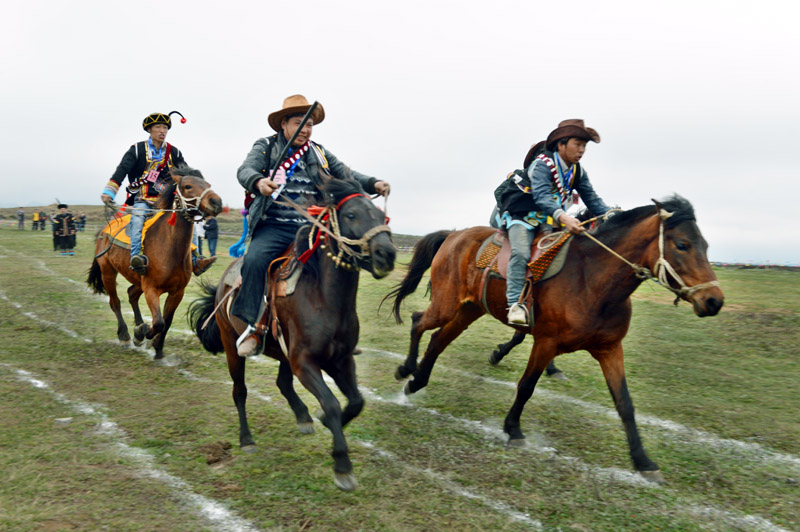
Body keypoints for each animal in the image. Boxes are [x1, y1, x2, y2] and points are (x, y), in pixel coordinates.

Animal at [87, 165, 222, 358]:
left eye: (207, 184)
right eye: (188, 186)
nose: (216, 202)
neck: (169, 250)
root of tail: (105, 229)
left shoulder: (177, 292)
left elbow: (167, 320)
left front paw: (157, 347)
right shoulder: (151, 288)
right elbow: (158, 322)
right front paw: (141, 334)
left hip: (137, 279)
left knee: (131, 294)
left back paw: (138, 326)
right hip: (108, 272)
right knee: (115, 302)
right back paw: (125, 335)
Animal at [188, 179, 394, 490]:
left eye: (382, 216)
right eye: (351, 215)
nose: (386, 254)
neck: (323, 298)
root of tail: (224, 284)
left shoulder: (341, 360)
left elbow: (356, 401)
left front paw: (324, 422)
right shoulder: (305, 362)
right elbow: (332, 404)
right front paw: (342, 464)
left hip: (283, 353)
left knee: (282, 383)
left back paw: (303, 416)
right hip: (231, 346)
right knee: (240, 391)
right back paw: (246, 439)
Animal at [386, 195, 724, 482]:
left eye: (706, 245)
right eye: (682, 244)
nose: (714, 301)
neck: (591, 279)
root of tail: (455, 235)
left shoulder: (610, 349)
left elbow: (625, 404)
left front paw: (643, 461)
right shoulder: (545, 342)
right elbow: (526, 386)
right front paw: (513, 429)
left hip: (469, 309)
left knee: (438, 340)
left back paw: (416, 382)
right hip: (446, 304)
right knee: (418, 322)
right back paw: (406, 369)